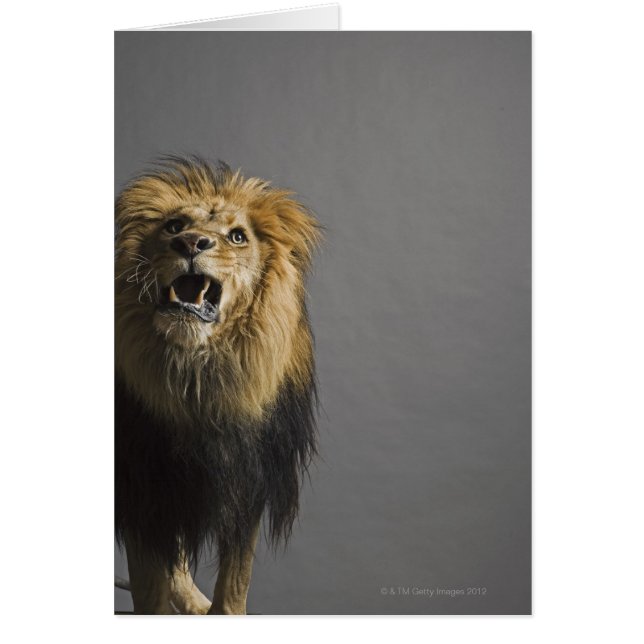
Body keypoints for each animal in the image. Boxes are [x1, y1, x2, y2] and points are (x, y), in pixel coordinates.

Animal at [115, 156, 321, 615]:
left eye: (237, 236)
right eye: (174, 226)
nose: (191, 243)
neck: (198, 379)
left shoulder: (247, 479)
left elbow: (234, 580)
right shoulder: (142, 483)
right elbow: (150, 587)